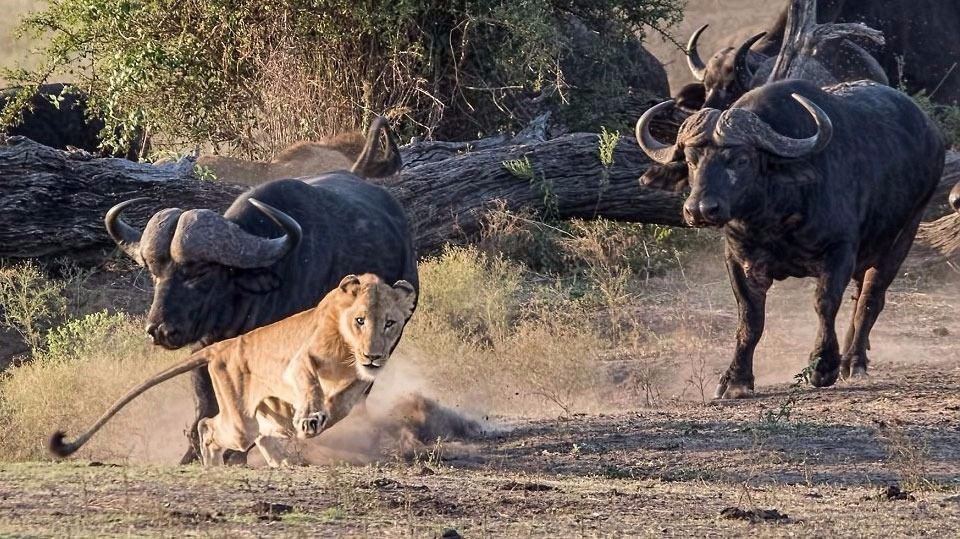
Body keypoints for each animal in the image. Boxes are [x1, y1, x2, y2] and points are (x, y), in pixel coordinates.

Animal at [632, 81, 940, 400]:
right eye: (692, 161)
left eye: (741, 159)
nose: (700, 210)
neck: (771, 218)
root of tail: (932, 134)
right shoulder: (739, 260)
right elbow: (750, 319)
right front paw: (736, 379)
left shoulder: (840, 251)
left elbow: (824, 303)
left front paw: (823, 366)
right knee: (859, 299)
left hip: (901, 239)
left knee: (870, 300)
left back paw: (853, 361)